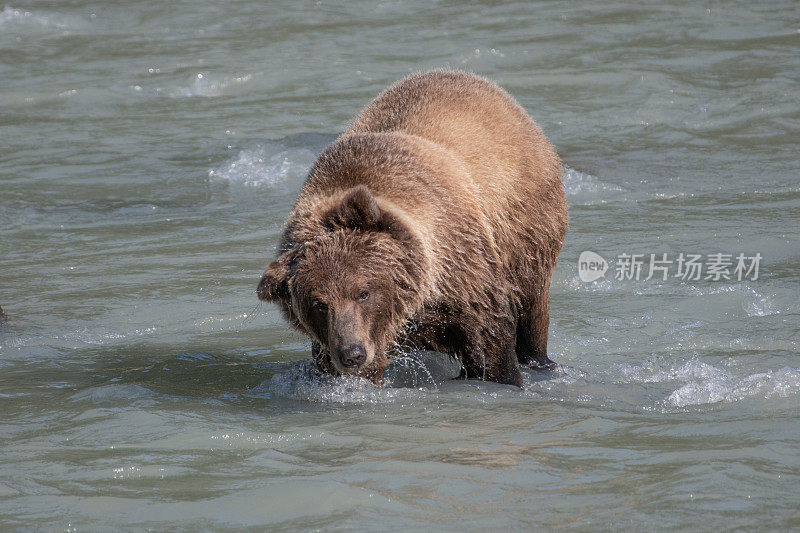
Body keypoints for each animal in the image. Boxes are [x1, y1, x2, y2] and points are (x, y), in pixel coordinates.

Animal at [258, 70, 568, 386]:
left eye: (363, 292)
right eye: (319, 303)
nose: (352, 353)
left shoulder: (464, 273)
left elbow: (488, 341)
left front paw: (503, 375)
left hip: (526, 229)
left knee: (532, 306)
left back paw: (540, 360)